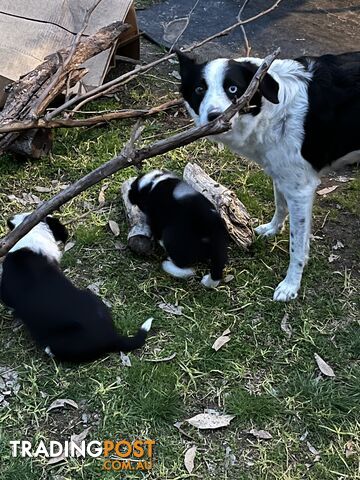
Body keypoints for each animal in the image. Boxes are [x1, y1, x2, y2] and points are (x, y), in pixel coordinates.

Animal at [178, 50, 360, 302]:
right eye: (199, 89)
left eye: (233, 89)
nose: (214, 116)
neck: (275, 109)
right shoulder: (282, 174)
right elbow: (280, 205)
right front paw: (272, 229)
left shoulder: (301, 190)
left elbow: (297, 245)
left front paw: (291, 285)